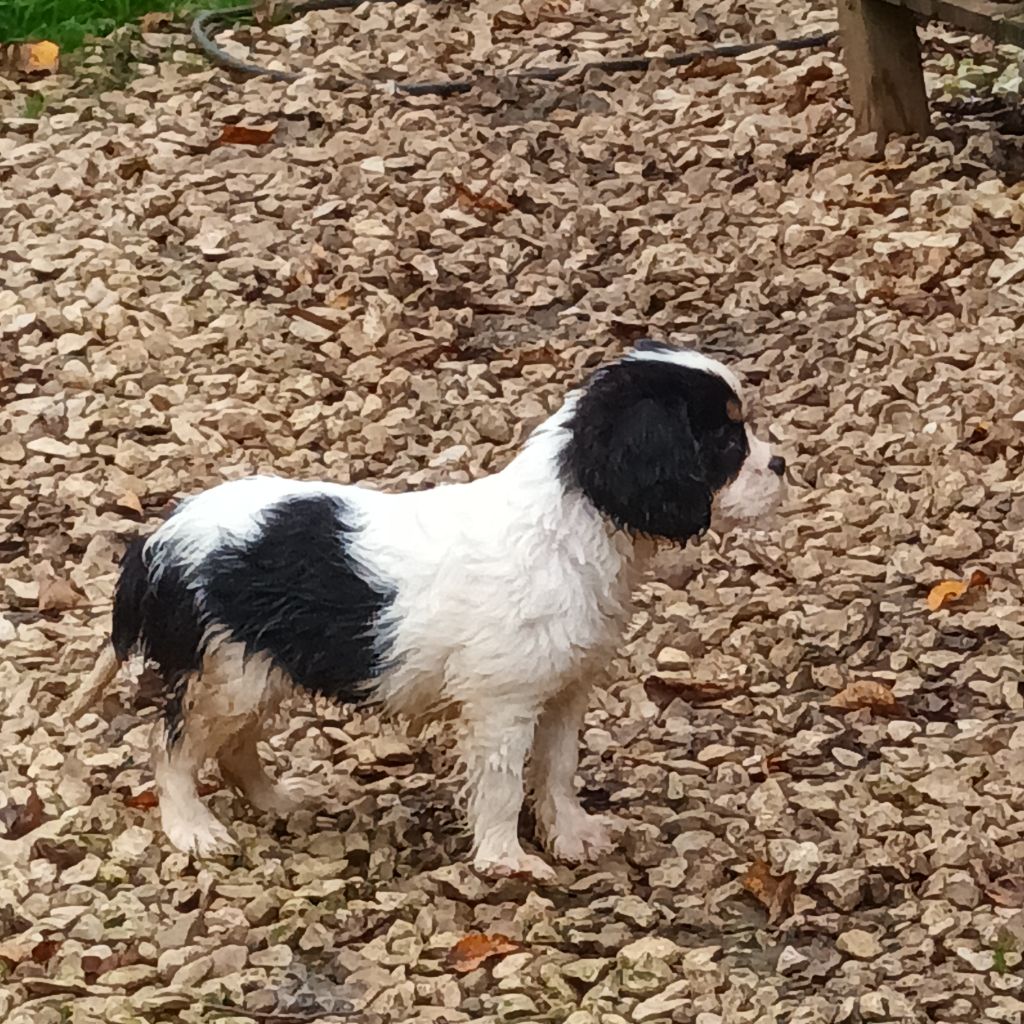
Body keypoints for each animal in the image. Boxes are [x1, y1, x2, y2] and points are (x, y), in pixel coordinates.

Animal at [74, 341, 785, 878]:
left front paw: (572, 834)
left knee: (233, 748)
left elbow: (557, 770)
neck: (573, 518)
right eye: (723, 440)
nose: (781, 463)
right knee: (173, 748)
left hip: (256, 670)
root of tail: (154, 544)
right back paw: (193, 830)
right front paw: (507, 861)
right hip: (225, 675)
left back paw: (278, 800)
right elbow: (502, 784)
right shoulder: (503, 703)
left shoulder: (564, 688)